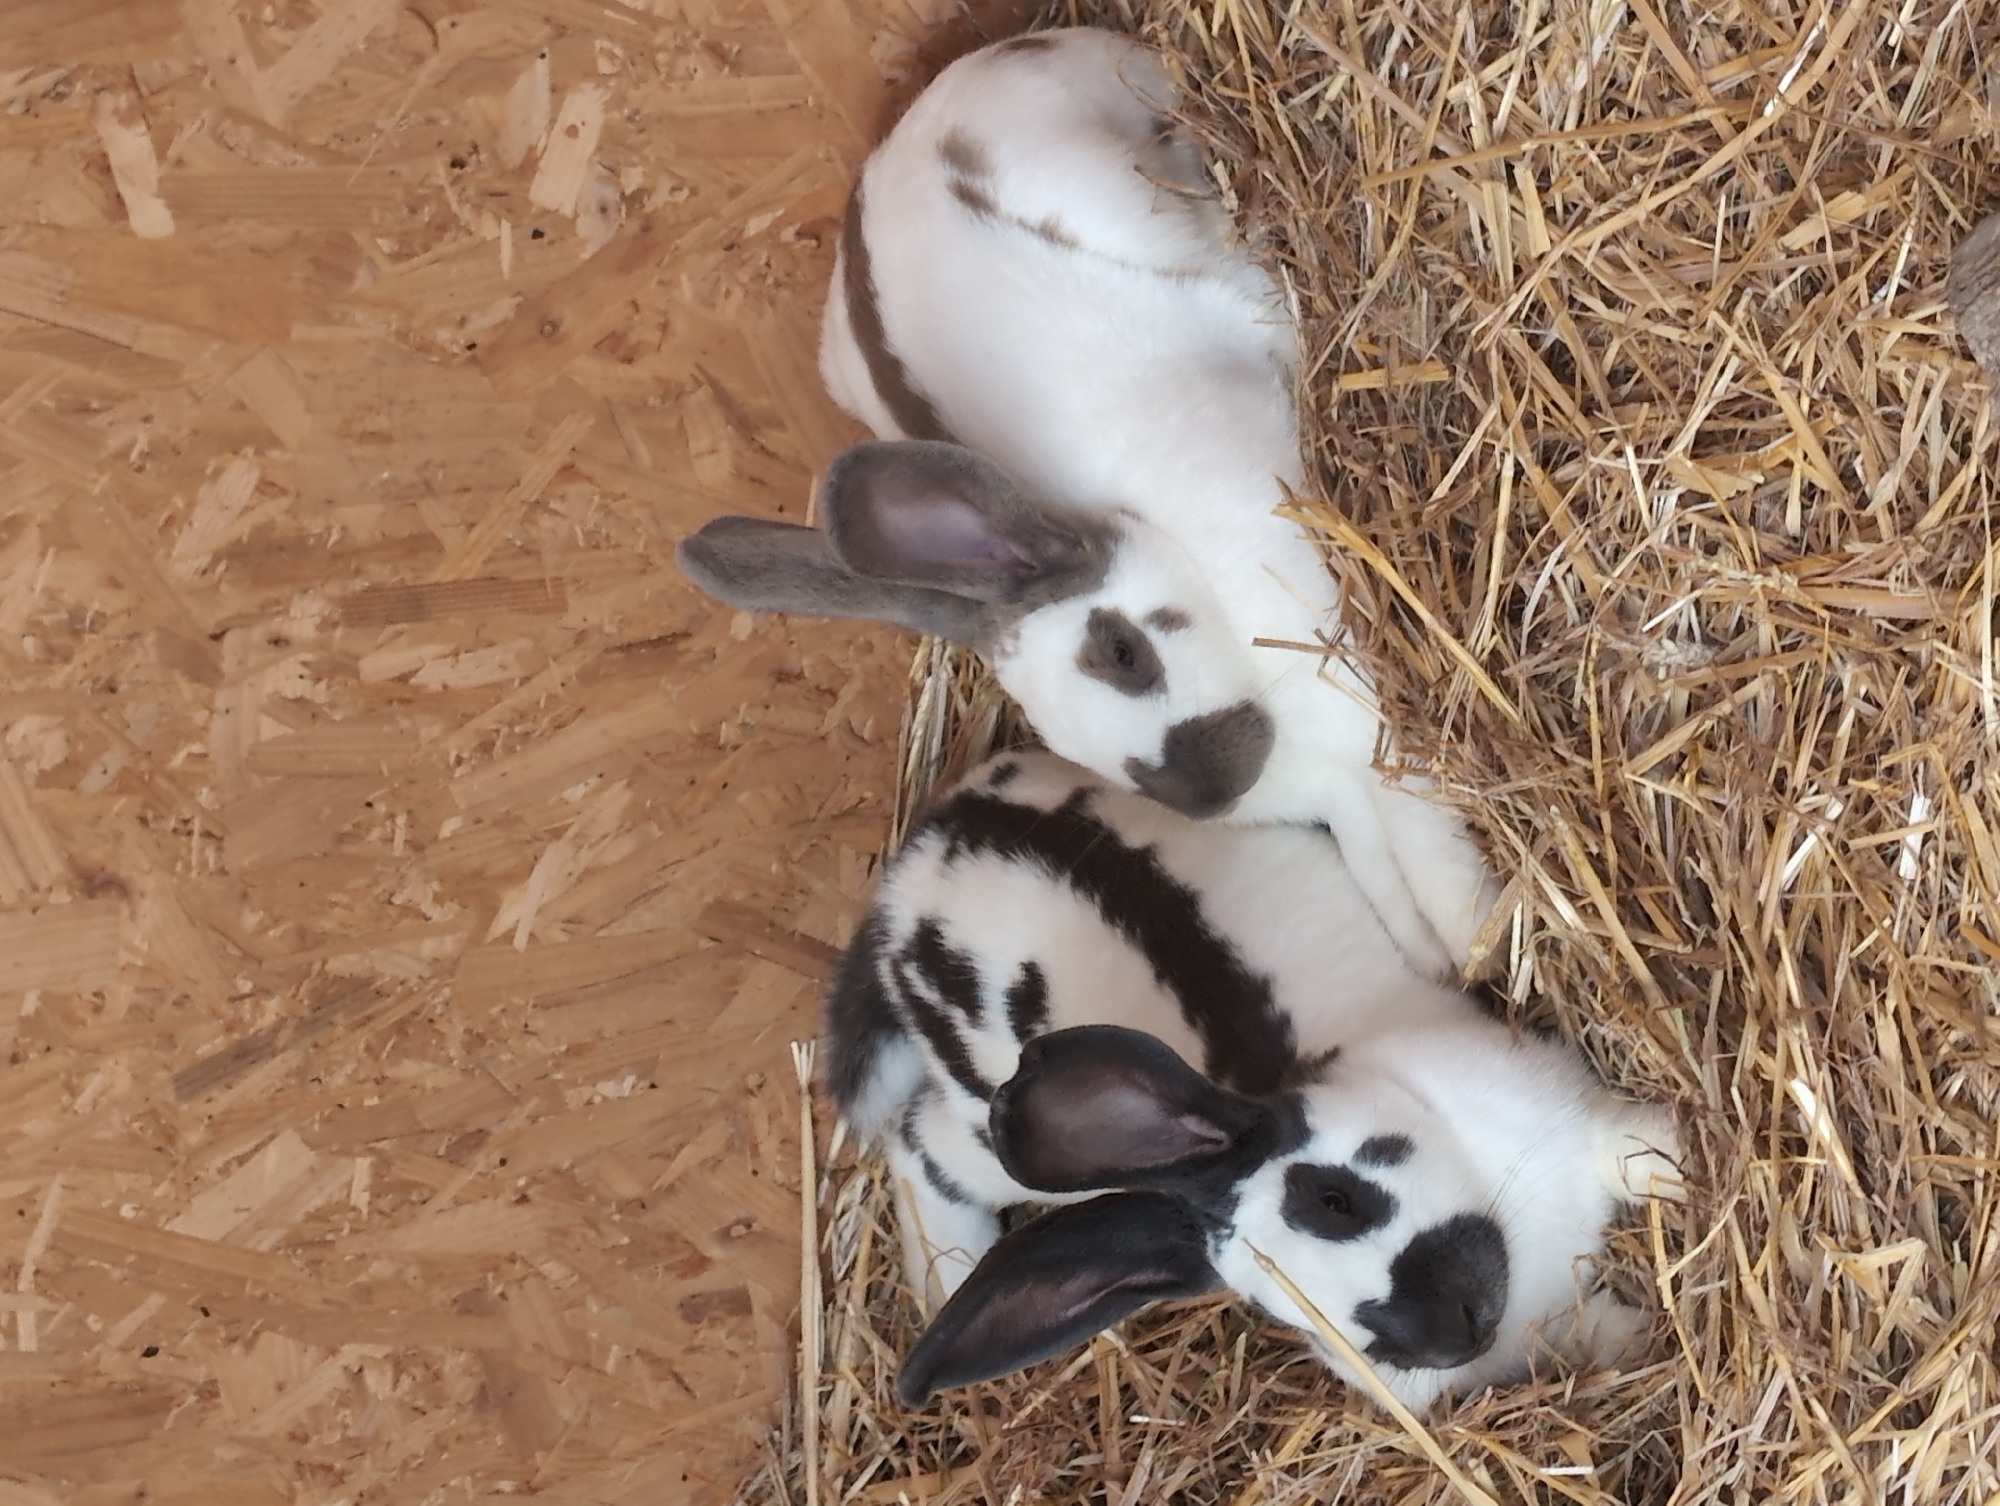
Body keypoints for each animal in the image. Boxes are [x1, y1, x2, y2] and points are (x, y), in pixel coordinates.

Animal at [676, 28, 1495, 982]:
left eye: (1123, 651)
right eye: (1058, 740)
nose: (1209, 791)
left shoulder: (1358, 698)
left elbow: (1426, 830)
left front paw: (1481, 931)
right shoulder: (1342, 792)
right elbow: (1380, 864)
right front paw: (1440, 957)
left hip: (1125, 183)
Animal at [828, 750, 1681, 1410]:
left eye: (1336, 1199)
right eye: (1283, 1312)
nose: (1450, 1331)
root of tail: (901, 892)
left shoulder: (1572, 1118)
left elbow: (1637, 1157)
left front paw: (1678, 1191)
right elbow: (1569, 1335)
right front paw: (1632, 1336)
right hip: (987, 1131)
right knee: (917, 1143)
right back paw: (947, 1274)